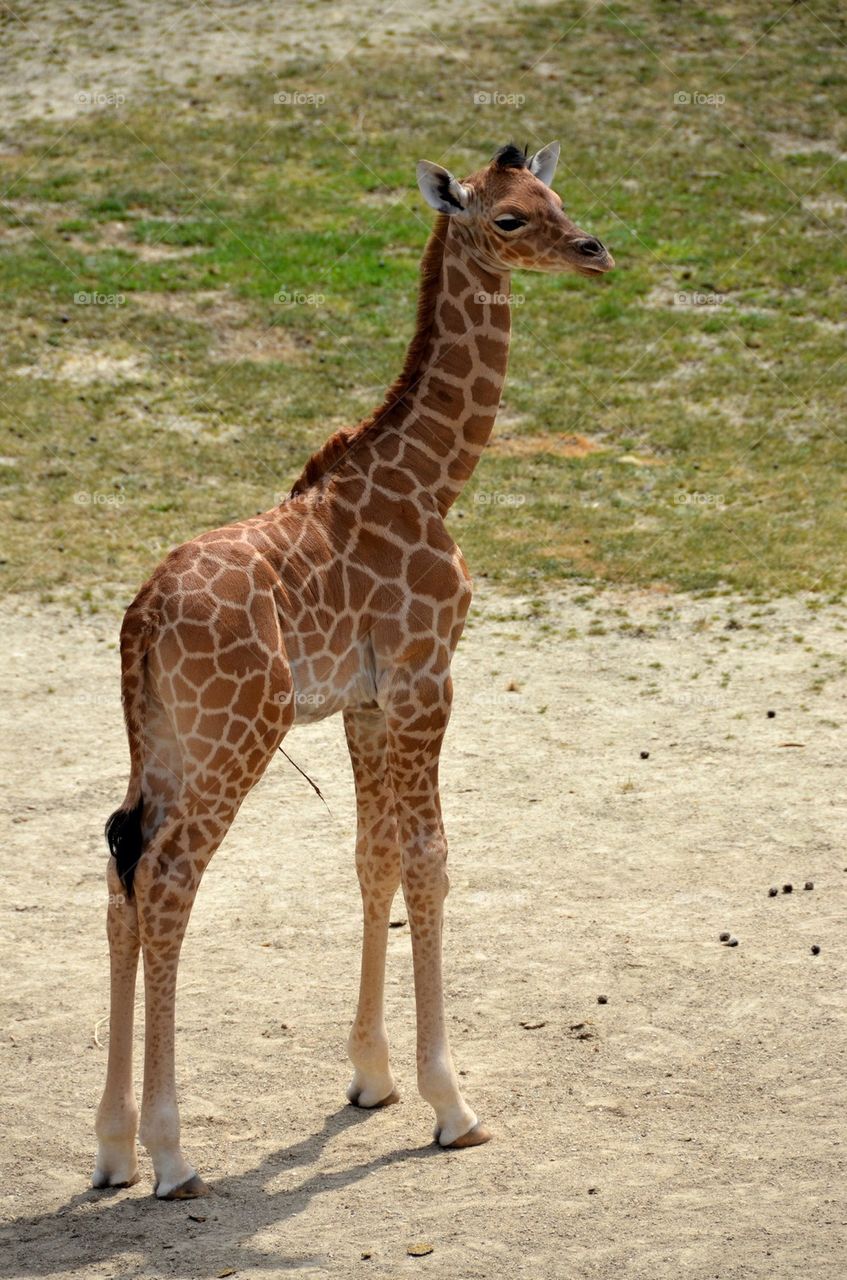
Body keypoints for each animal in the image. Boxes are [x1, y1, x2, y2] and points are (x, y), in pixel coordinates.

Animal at [92, 141, 614, 1200]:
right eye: (509, 218)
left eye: (556, 194)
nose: (596, 251)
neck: (434, 478)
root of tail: (141, 619)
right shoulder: (425, 679)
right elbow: (430, 862)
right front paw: (453, 1106)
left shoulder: (364, 704)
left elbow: (372, 859)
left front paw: (370, 1078)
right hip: (237, 737)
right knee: (167, 881)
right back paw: (173, 1156)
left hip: (162, 742)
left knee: (121, 868)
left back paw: (114, 1147)